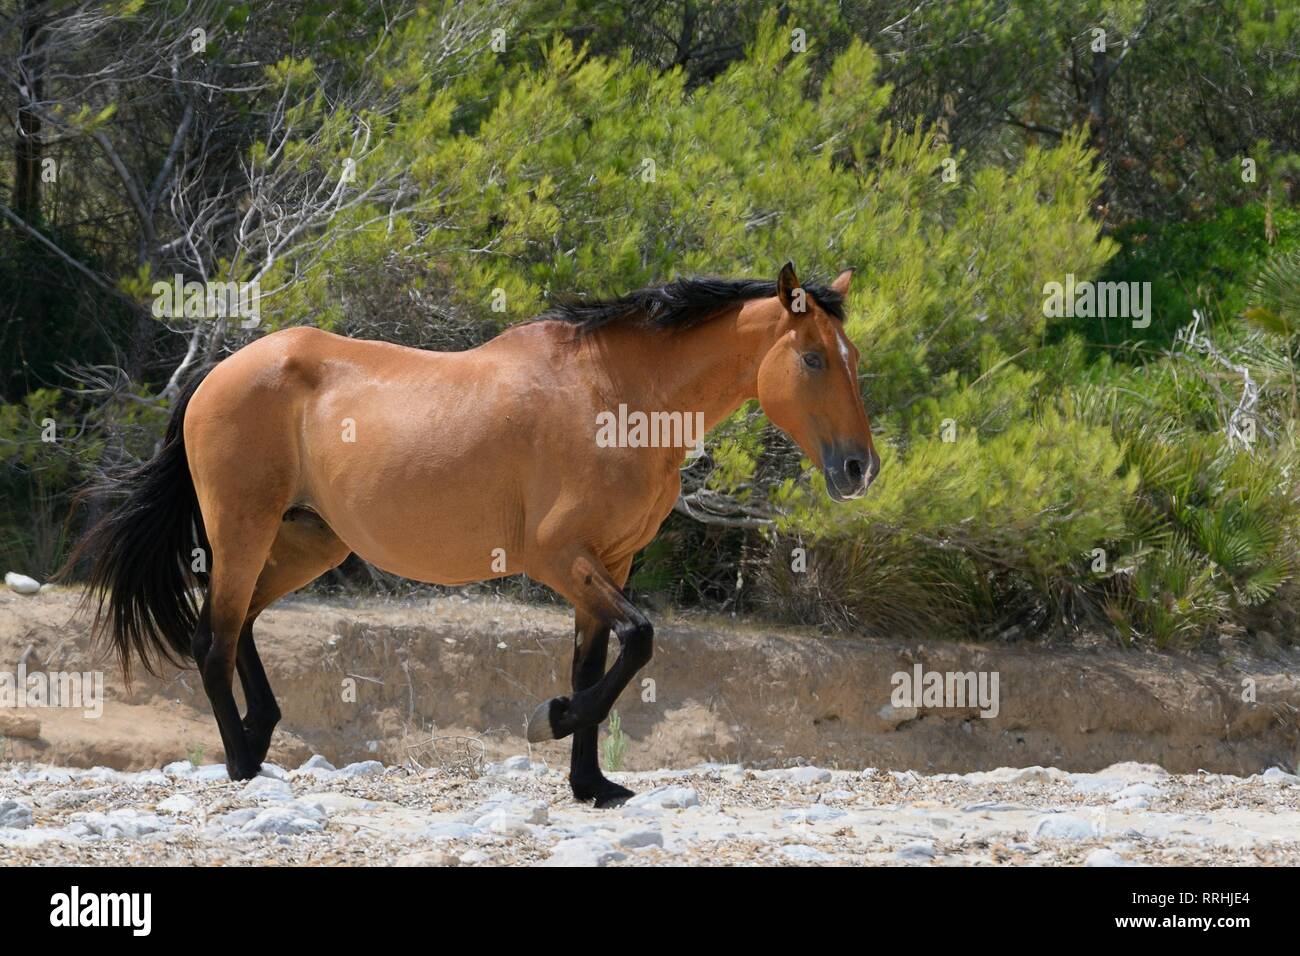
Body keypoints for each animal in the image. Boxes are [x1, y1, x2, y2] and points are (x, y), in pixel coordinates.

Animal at [70, 261, 879, 807]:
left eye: (853, 359)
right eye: (812, 358)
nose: (858, 467)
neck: (617, 397)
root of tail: (216, 375)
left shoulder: (610, 563)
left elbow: (599, 662)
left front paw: (592, 783)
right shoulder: (559, 558)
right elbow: (639, 641)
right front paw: (549, 721)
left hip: (307, 541)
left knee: (239, 624)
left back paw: (262, 733)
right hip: (244, 527)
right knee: (213, 636)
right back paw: (243, 764)